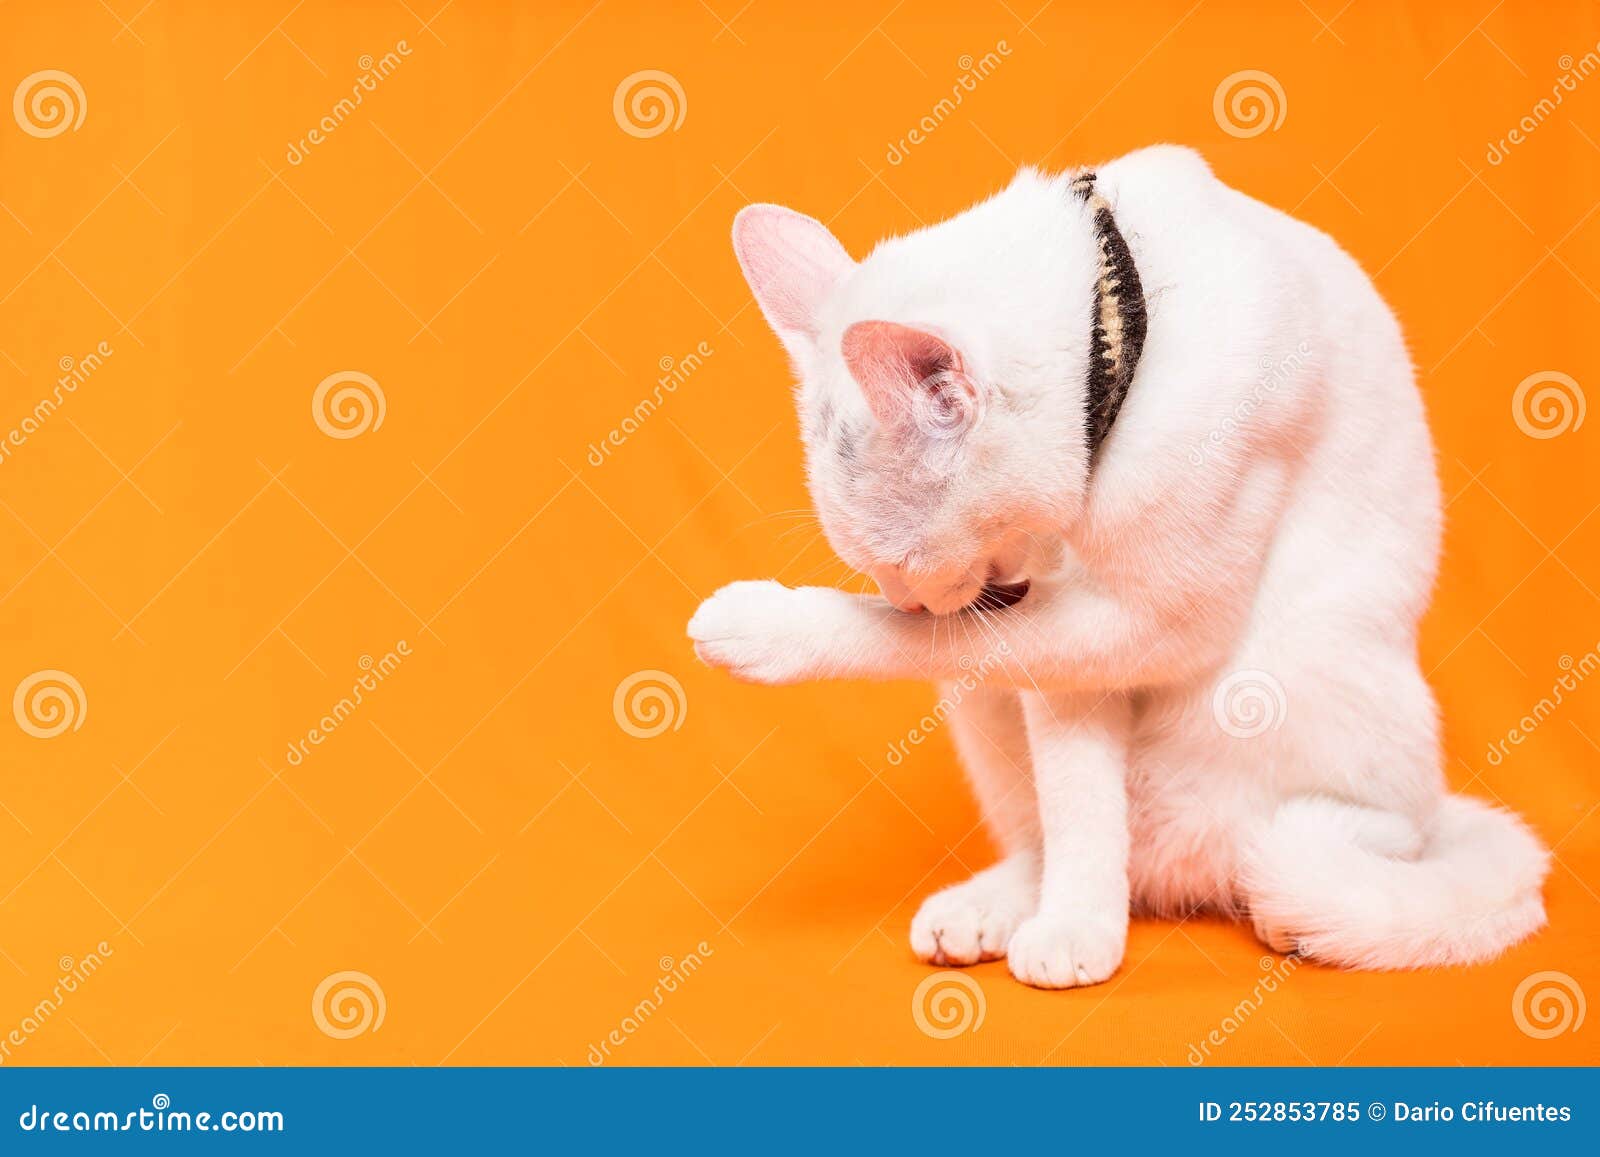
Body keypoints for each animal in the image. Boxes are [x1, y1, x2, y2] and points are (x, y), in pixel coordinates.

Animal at [691, 144, 1548, 992]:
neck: (1118, 312)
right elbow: (1074, 795)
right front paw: (1077, 921)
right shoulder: (1064, 654)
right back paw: (1000, 903)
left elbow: (916, 650)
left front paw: (761, 628)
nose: (914, 604)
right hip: (985, 707)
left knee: (1351, 846)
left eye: (899, 564)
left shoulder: (1145, 625)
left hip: (1291, 702)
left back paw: (1285, 912)